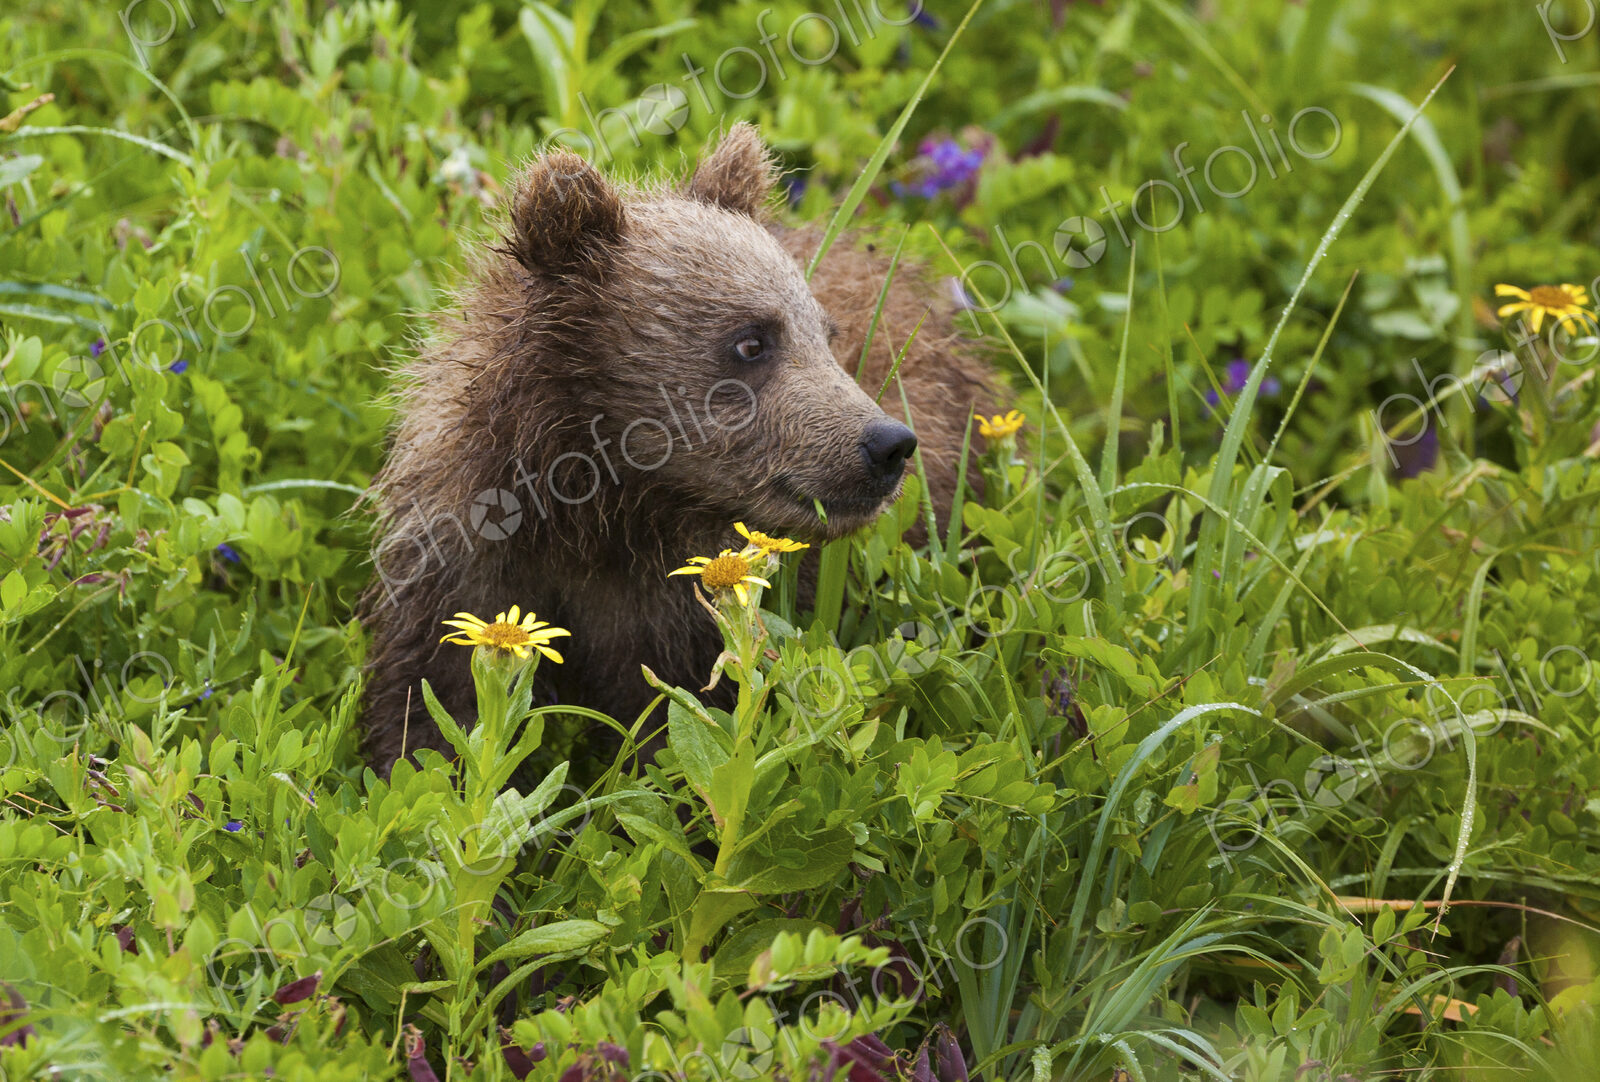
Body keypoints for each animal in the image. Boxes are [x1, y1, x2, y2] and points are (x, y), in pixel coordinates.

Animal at [359, 123, 995, 772]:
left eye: (827, 334)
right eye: (752, 341)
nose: (888, 444)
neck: (599, 505)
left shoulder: (677, 610)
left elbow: (676, 721)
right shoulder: (468, 553)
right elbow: (434, 701)